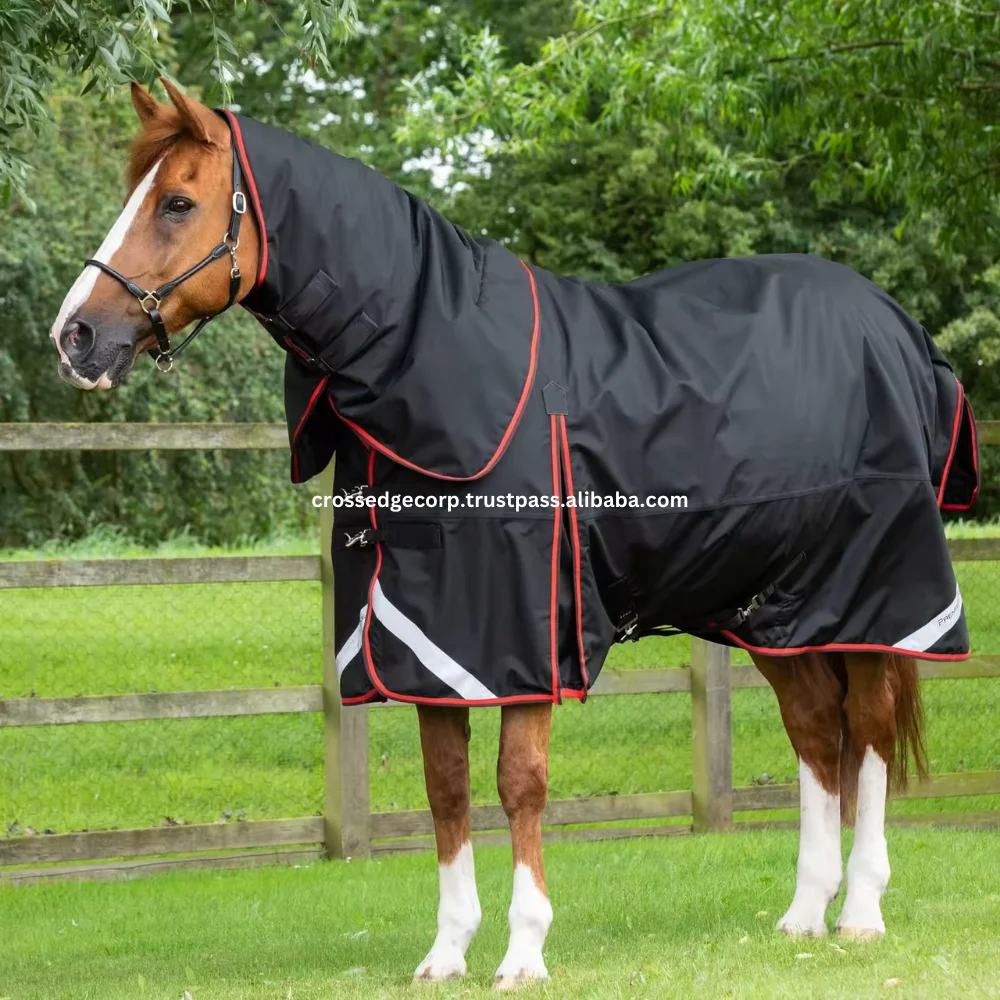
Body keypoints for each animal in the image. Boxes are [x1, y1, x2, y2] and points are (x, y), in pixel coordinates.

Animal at [50, 80, 978, 989]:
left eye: (176, 202)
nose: (75, 336)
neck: (434, 360)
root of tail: (897, 328)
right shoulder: (424, 646)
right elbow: (446, 788)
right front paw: (446, 953)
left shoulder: (521, 638)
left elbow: (518, 784)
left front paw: (525, 953)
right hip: (774, 611)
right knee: (817, 731)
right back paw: (803, 916)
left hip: (875, 599)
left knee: (868, 735)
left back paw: (860, 913)